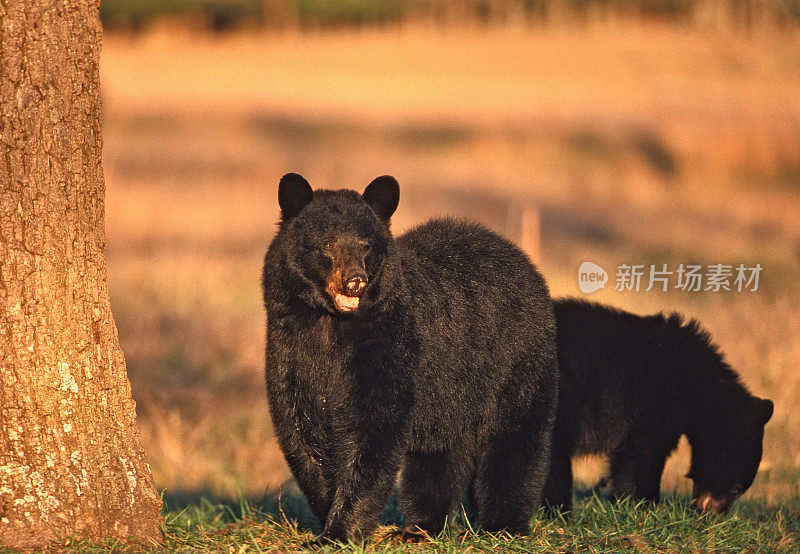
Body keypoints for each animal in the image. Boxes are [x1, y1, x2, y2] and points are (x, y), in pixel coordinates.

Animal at [260, 174, 556, 540]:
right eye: (327, 243)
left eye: (366, 245)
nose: (355, 281)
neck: (330, 326)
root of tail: (523, 260)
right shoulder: (289, 350)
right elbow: (301, 431)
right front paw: (327, 514)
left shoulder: (390, 345)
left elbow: (375, 429)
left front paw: (341, 530)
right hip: (452, 391)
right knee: (439, 454)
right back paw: (421, 526)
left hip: (517, 358)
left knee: (515, 436)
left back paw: (503, 525)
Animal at [548, 298, 772, 512]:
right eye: (737, 488)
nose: (715, 513)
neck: (694, 384)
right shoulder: (654, 404)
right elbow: (642, 455)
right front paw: (643, 507)